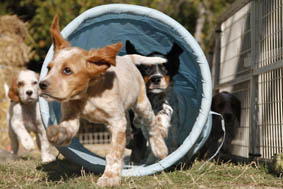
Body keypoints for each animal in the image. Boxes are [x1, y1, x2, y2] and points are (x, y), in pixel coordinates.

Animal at [39, 14, 170, 186]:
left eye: (67, 71)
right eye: (49, 68)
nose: (41, 85)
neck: (88, 94)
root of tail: (126, 58)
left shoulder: (116, 121)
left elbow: (114, 152)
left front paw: (110, 177)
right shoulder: (72, 116)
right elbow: (67, 128)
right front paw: (56, 134)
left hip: (142, 105)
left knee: (152, 125)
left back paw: (160, 149)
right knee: (130, 128)